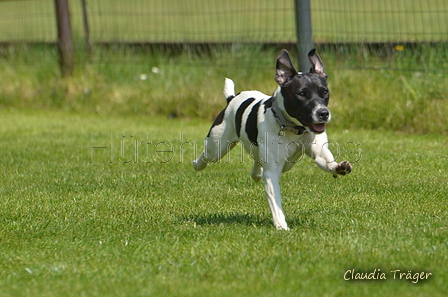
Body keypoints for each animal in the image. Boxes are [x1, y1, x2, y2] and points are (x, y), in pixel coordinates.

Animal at [191, 49, 352, 229]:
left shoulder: (318, 151)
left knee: (257, 163)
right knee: (208, 155)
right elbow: (275, 202)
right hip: (218, 146)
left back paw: (256, 173)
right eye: (302, 94)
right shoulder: (272, 172)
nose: (323, 113)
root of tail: (231, 98)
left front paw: (338, 167)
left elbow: (325, 160)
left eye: (324, 92)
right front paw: (281, 226)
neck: (293, 128)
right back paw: (197, 164)